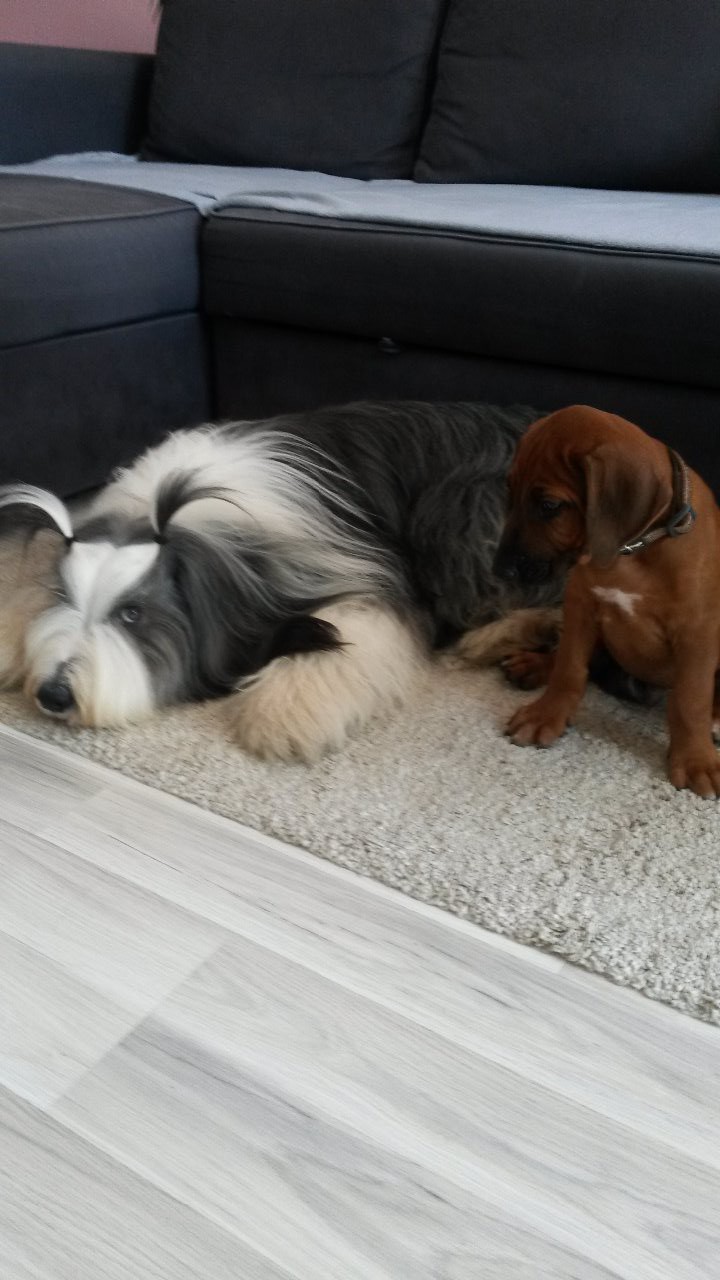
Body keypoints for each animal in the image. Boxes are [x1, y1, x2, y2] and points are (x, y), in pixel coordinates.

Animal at [0, 400, 564, 761]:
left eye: (133, 614)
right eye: (64, 595)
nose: (53, 694)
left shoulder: (363, 569)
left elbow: (354, 629)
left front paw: (286, 713)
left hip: (465, 507)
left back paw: (501, 638)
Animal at [493, 403, 720, 798]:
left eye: (550, 505)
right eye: (510, 492)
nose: (499, 569)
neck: (635, 549)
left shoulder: (698, 632)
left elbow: (690, 699)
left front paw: (695, 760)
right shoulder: (581, 604)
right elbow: (569, 667)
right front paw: (546, 714)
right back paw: (535, 663)